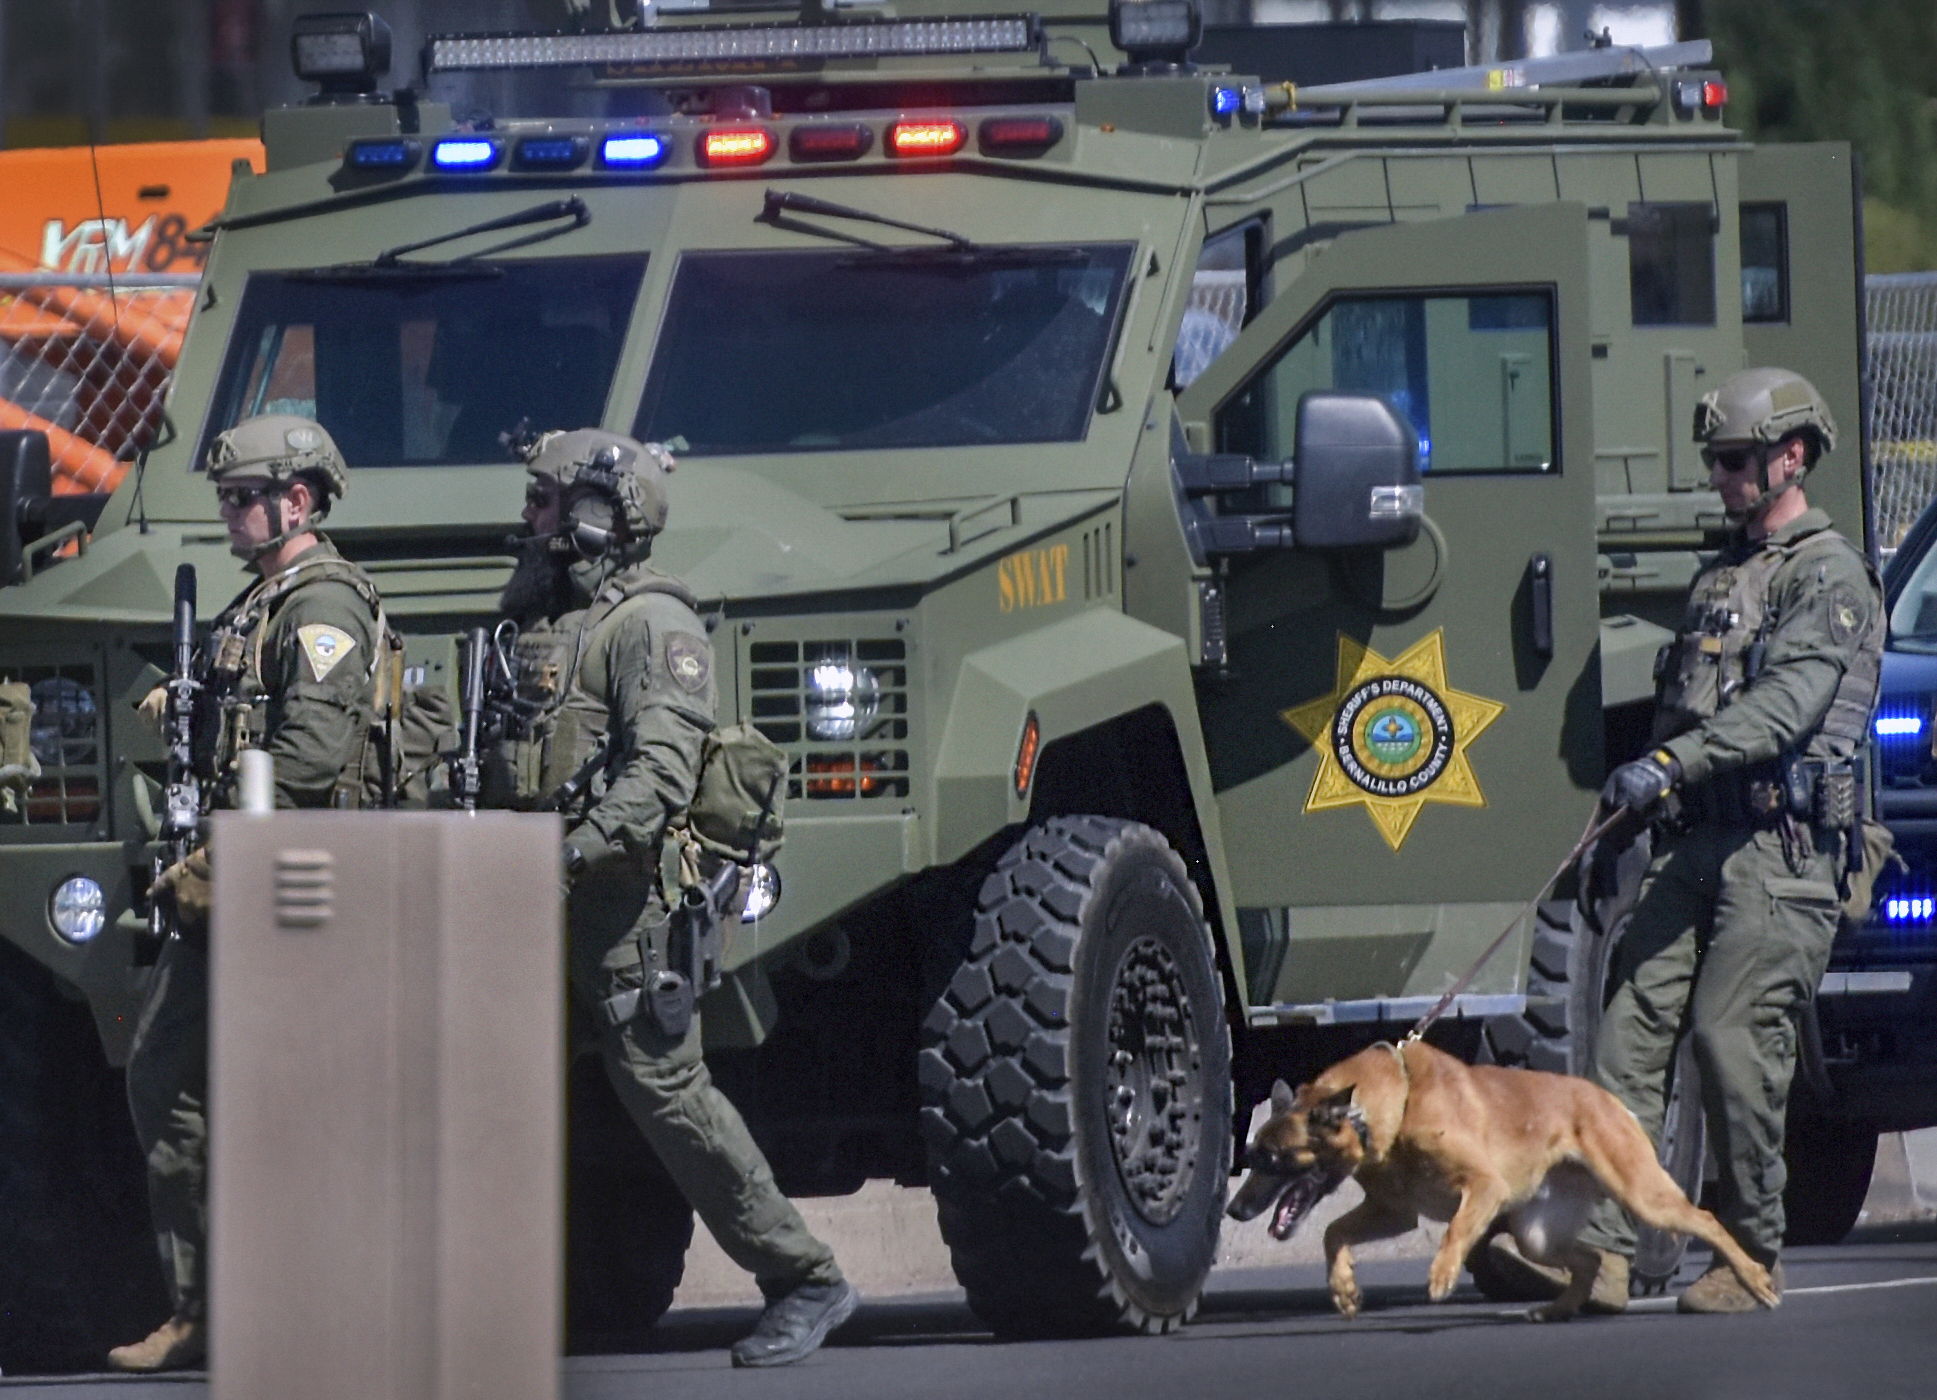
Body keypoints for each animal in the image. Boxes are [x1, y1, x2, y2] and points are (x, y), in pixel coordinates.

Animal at [1231, 1037, 1774, 1324]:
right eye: (1252, 1155)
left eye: (1275, 1159)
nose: (1234, 1210)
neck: (1395, 1100)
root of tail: (1605, 1098)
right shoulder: (1393, 1213)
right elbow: (1332, 1232)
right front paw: (1343, 1288)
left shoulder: (1484, 1188)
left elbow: (1455, 1230)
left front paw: (1443, 1273)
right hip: (1537, 1235)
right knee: (1589, 1258)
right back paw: (1558, 1308)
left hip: (1643, 1197)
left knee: (1707, 1221)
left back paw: (1755, 1279)